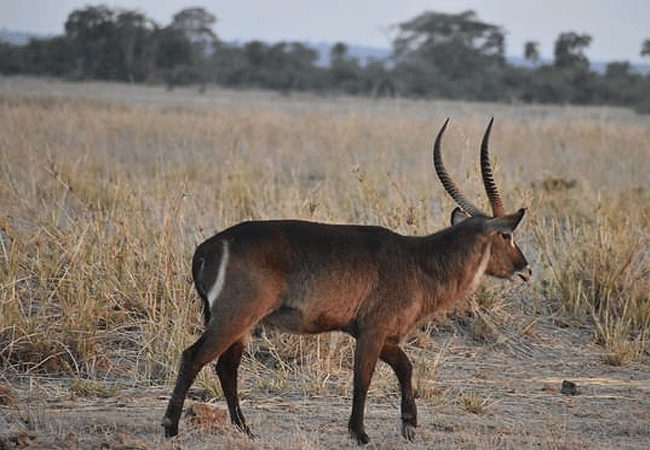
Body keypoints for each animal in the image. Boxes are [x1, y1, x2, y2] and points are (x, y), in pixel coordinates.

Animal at [159, 118, 528, 444]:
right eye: (507, 235)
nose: (525, 269)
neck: (420, 260)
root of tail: (207, 246)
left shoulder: (382, 335)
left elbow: (406, 368)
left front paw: (409, 425)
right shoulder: (373, 331)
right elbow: (362, 379)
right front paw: (360, 433)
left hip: (242, 322)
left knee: (226, 367)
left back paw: (245, 430)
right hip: (234, 316)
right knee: (194, 357)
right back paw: (170, 426)